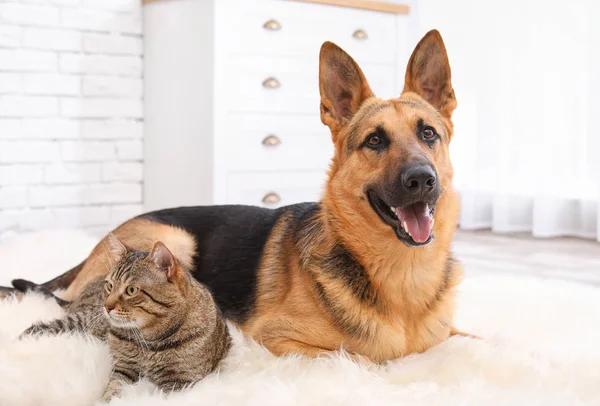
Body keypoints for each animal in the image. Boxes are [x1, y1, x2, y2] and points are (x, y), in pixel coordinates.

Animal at [2, 30, 466, 364]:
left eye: (428, 133)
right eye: (374, 140)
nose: (421, 180)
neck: (402, 272)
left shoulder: (449, 333)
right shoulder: (281, 340)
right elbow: (367, 359)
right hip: (175, 241)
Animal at [17, 233, 230, 402]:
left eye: (131, 290)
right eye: (110, 285)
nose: (107, 306)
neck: (150, 341)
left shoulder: (180, 382)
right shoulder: (122, 369)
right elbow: (113, 389)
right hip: (82, 321)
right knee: (42, 327)